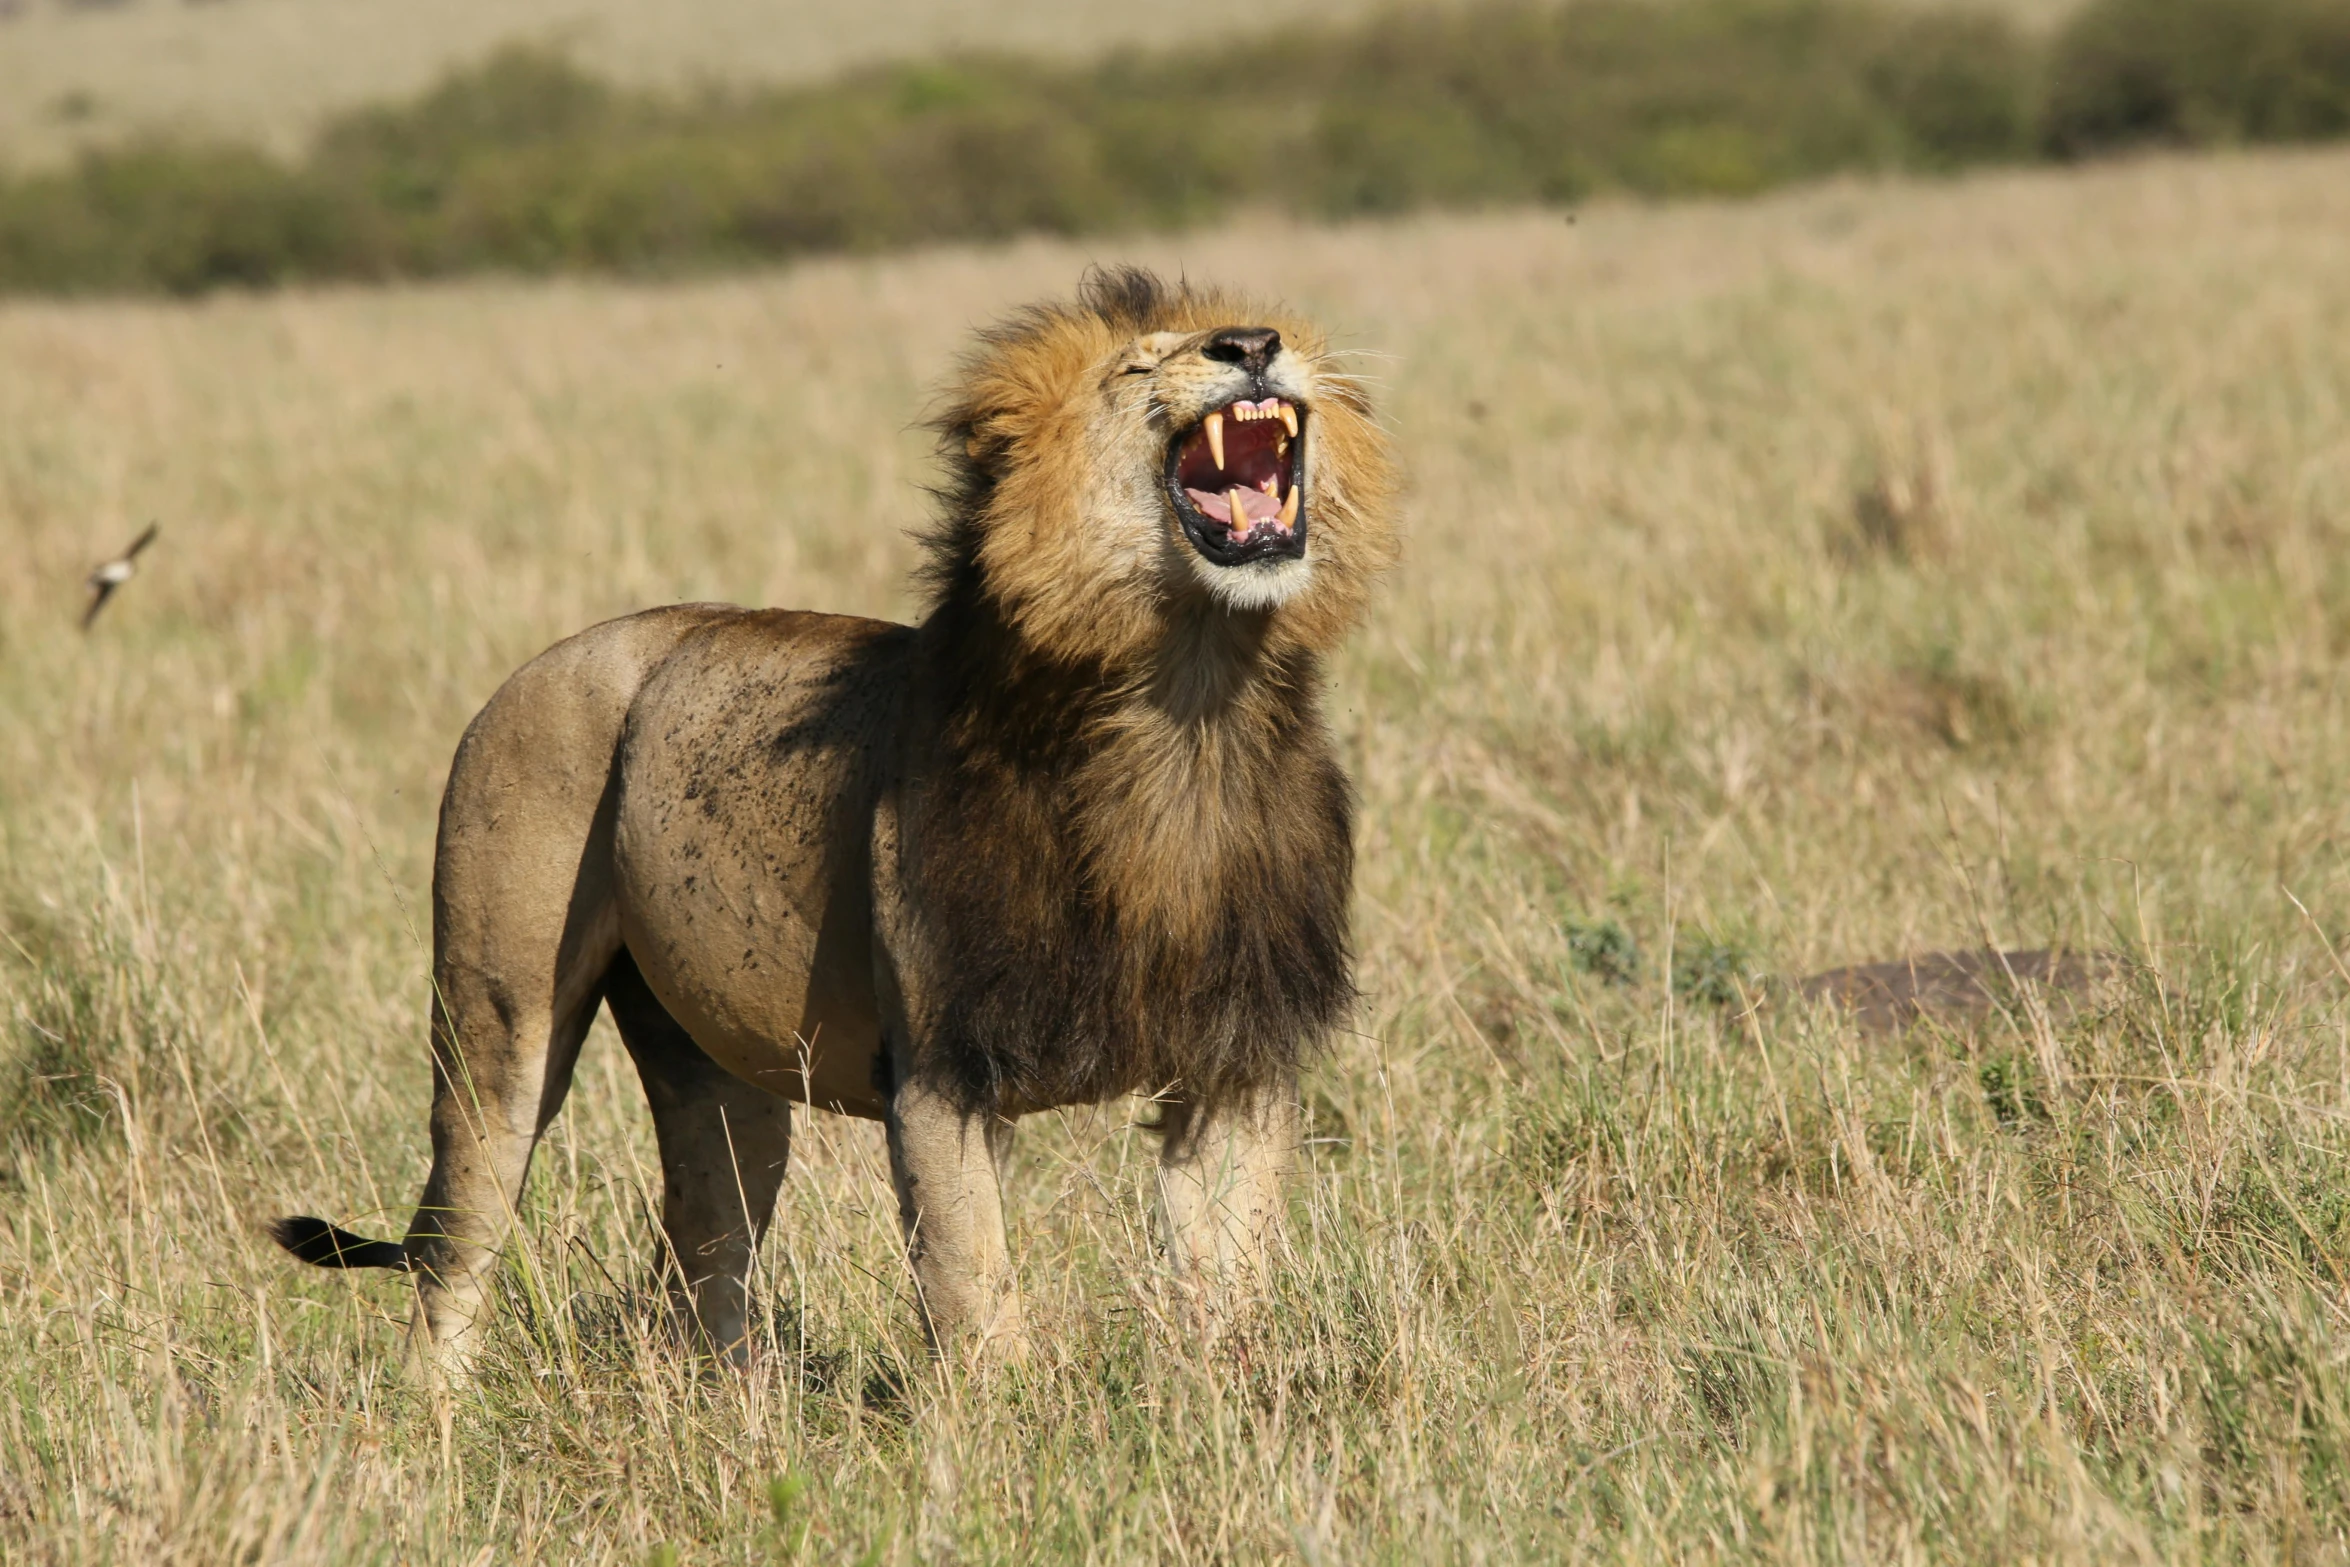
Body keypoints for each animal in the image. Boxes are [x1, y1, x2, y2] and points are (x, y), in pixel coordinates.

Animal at [284, 270, 1400, 1372]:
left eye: (1245, 331)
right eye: (1134, 366)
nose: (1250, 345)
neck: (1183, 707)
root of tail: (531, 669)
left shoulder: (1235, 1062)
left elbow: (1225, 1288)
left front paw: (1221, 1398)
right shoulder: (938, 1069)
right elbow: (977, 1300)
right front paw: (1008, 1425)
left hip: (717, 1071)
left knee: (703, 1260)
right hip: (495, 1022)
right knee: (455, 1253)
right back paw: (434, 1417)